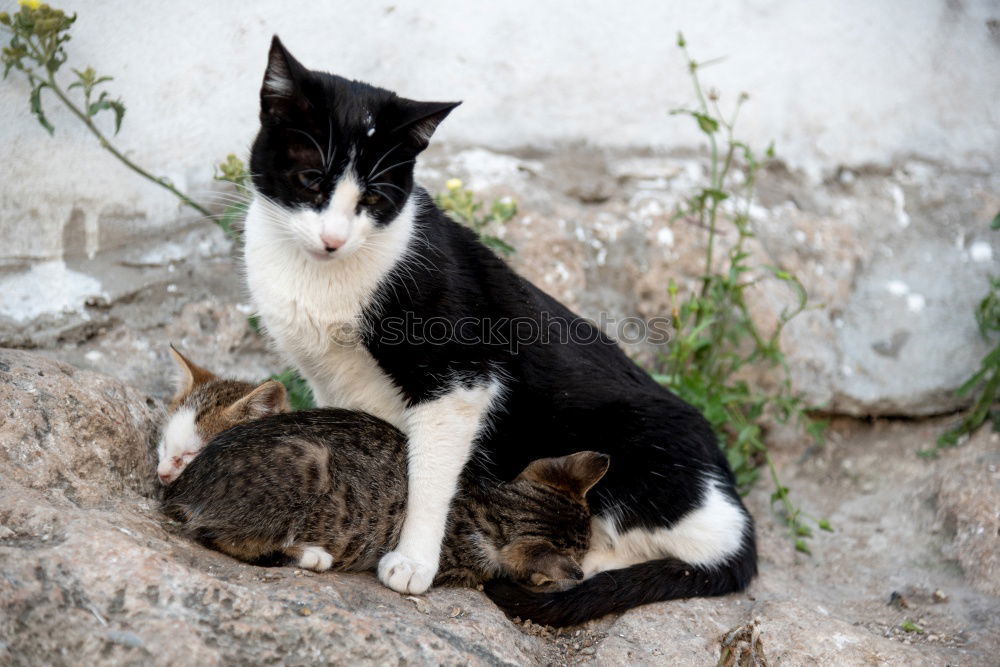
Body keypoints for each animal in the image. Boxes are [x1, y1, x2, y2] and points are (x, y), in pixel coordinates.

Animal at [157, 352, 608, 588]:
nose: (163, 470)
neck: (491, 501)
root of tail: (183, 490)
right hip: (308, 463)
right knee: (220, 536)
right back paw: (311, 554)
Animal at [246, 37, 752, 628]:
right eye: (310, 181)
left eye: (373, 200)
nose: (332, 239)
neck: (324, 277)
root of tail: (735, 508)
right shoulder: (327, 377)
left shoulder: (462, 378)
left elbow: (429, 474)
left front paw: (413, 560)